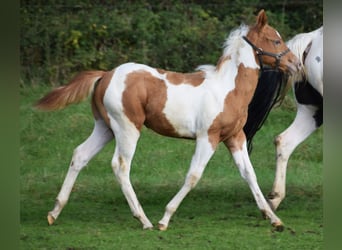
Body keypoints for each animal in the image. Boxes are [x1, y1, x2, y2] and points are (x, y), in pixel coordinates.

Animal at [35, 10, 300, 231]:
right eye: (276, 41)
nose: (296, 64)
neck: (227, 88)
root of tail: (105, 75)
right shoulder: (208, 137)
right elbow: (193, 175)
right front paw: (165, 219)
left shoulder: (235, 137)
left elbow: (249, 174)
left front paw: (274, 219)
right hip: (127, 129)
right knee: (120, 166)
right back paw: (144, 220)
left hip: (105, 128)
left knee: (80, 155)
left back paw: (54, 212)